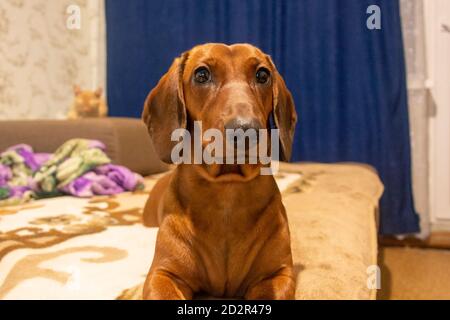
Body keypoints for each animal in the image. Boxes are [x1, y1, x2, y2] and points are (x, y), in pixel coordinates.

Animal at [141, 43, 296, 300]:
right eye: (202, 75)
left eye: (263, 75)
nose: (246, 130)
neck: (227, 188)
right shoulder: (162, 275)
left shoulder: (278, 274)